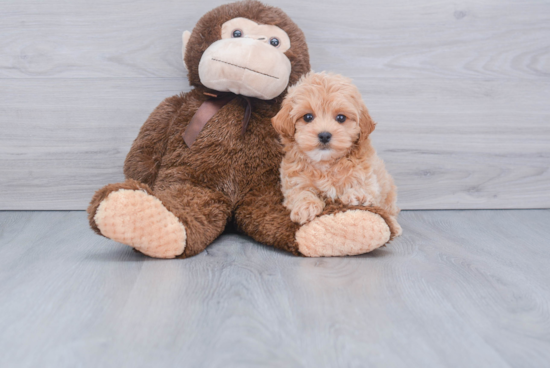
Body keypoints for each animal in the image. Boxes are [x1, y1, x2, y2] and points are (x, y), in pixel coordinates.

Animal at [274, 71, 404, 231]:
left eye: (341, 118)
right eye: (308, 117)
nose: (324, 135)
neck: (326, 164)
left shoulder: (368, 179)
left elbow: (365, 188)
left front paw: (358, 196)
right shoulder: (293, 182)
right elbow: (301, 192)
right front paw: (305, 207)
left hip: (389, 191)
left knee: (390, 210)